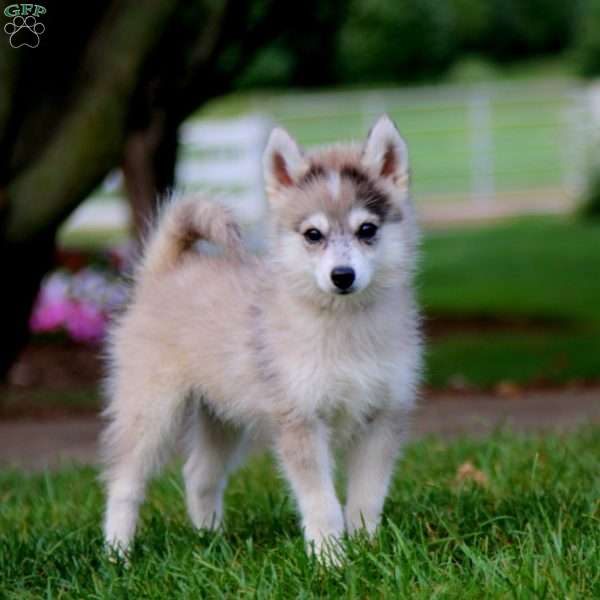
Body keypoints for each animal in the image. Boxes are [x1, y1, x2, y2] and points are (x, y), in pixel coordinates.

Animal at [102, 113, 422, 564]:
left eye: (367, 229)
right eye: (313, 234)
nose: (342, 276)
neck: (344, 328)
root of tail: (165, 271)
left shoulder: (383, 417)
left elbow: (366, 499)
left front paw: (368, 550)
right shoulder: (300, 420)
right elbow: (322, 502)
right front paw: (330, 560)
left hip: (221, 414)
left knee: (199, 474)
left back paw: (211, 541)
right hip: (151, 411)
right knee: (125, 482)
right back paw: (117, 555)